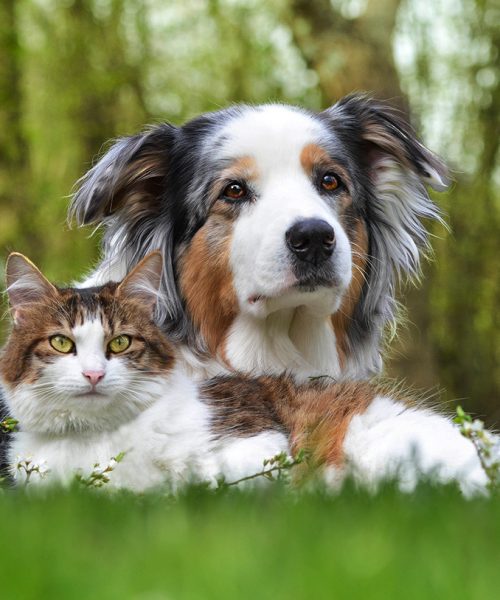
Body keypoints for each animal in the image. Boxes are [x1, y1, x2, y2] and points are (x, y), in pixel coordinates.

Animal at [0, 251, 492, 494]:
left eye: (119, 343)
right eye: (61, 343)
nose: (93, 376)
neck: (95, 441)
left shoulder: (258, 441)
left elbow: (204, 483)